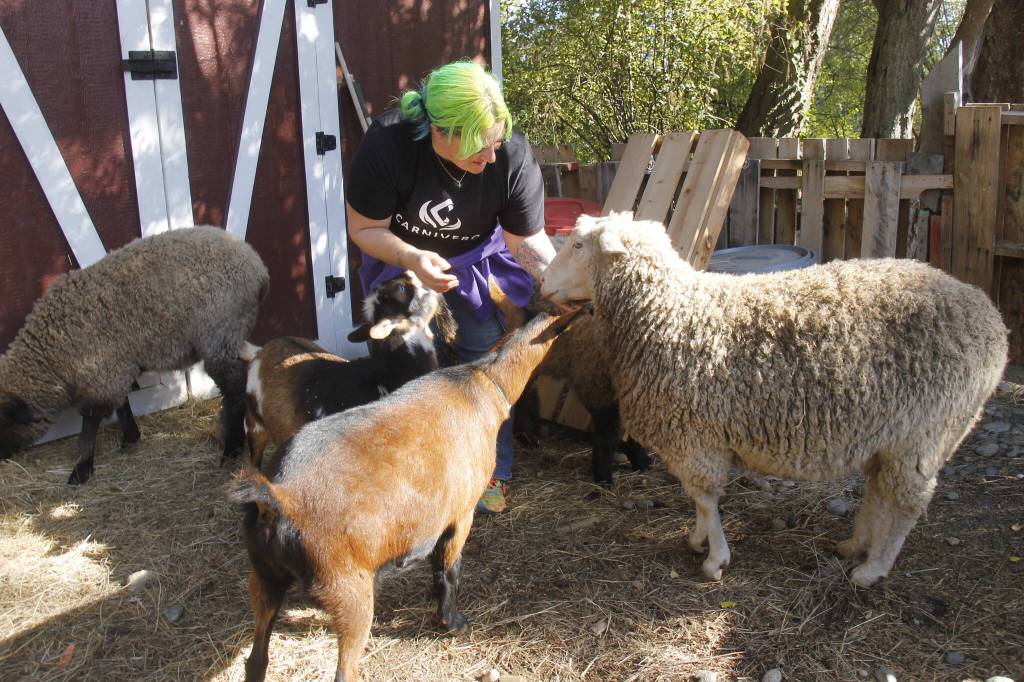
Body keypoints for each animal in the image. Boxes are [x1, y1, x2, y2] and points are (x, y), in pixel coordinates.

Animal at [0, 226, 269, 484]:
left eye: (2, 421)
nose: (2, 458)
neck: (54, 357)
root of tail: (258, 267)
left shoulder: (102, 373)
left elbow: (90, 420)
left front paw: (81, 469)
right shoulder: (118, 366)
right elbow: (122, 401)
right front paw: (130, 437)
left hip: (219, 337)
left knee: (235, 391)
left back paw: (232, 449)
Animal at [229, 307, 584, 682]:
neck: (482, 384)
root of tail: (276, 498)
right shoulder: (462, 513)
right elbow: (450, 569)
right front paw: (451, 621)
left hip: (265, 578)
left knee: (256, 660)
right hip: (348, 592)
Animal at [540, 212, 1008, 587]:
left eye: (578, 245)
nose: (542, 282)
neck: (669, 314)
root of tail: (991, 317)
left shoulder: (694, 434)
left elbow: (705, 497)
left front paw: (714, 557)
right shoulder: (697, 436)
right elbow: (699, 499)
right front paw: (698, 538)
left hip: (926, 432)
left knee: (907, 502)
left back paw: (873, 568)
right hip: (893, 436)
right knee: (879, 490)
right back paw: (854, 543)